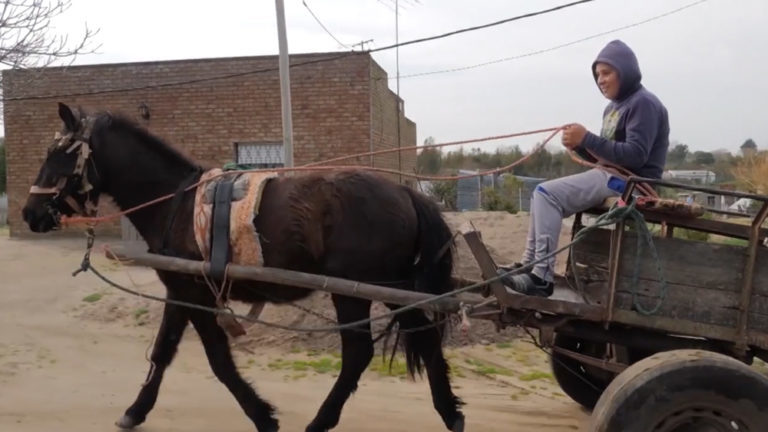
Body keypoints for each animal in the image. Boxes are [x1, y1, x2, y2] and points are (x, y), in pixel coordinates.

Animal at [22, 103, 468, 430]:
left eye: (59, 154)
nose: (30, 213)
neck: (175, 201)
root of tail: (407, 194)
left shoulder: (197, 294)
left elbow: (218, 360)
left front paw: (262, 415)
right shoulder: (180, 290)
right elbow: (163, 352)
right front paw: (136, 410)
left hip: (356, 291)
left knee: (359, 352)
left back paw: (322, 421)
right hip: (395, 289)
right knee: (426, 341)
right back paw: (450, 413)